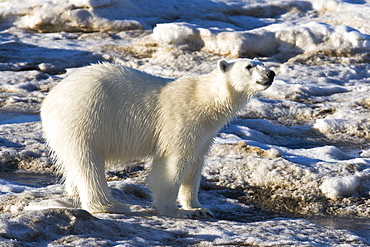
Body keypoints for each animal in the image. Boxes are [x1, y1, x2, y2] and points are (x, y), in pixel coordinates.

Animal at [41, 58, 274, 218]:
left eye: (262, 63)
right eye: (249, 66)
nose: (271, 73)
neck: (205, 100)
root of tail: (49, 100)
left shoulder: (206, 132)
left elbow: (195, 165)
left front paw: (199, 208)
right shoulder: (181, 120)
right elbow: (173, 162)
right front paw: (176, 211)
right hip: (85, 116)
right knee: (88, 162)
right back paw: (111, 205)